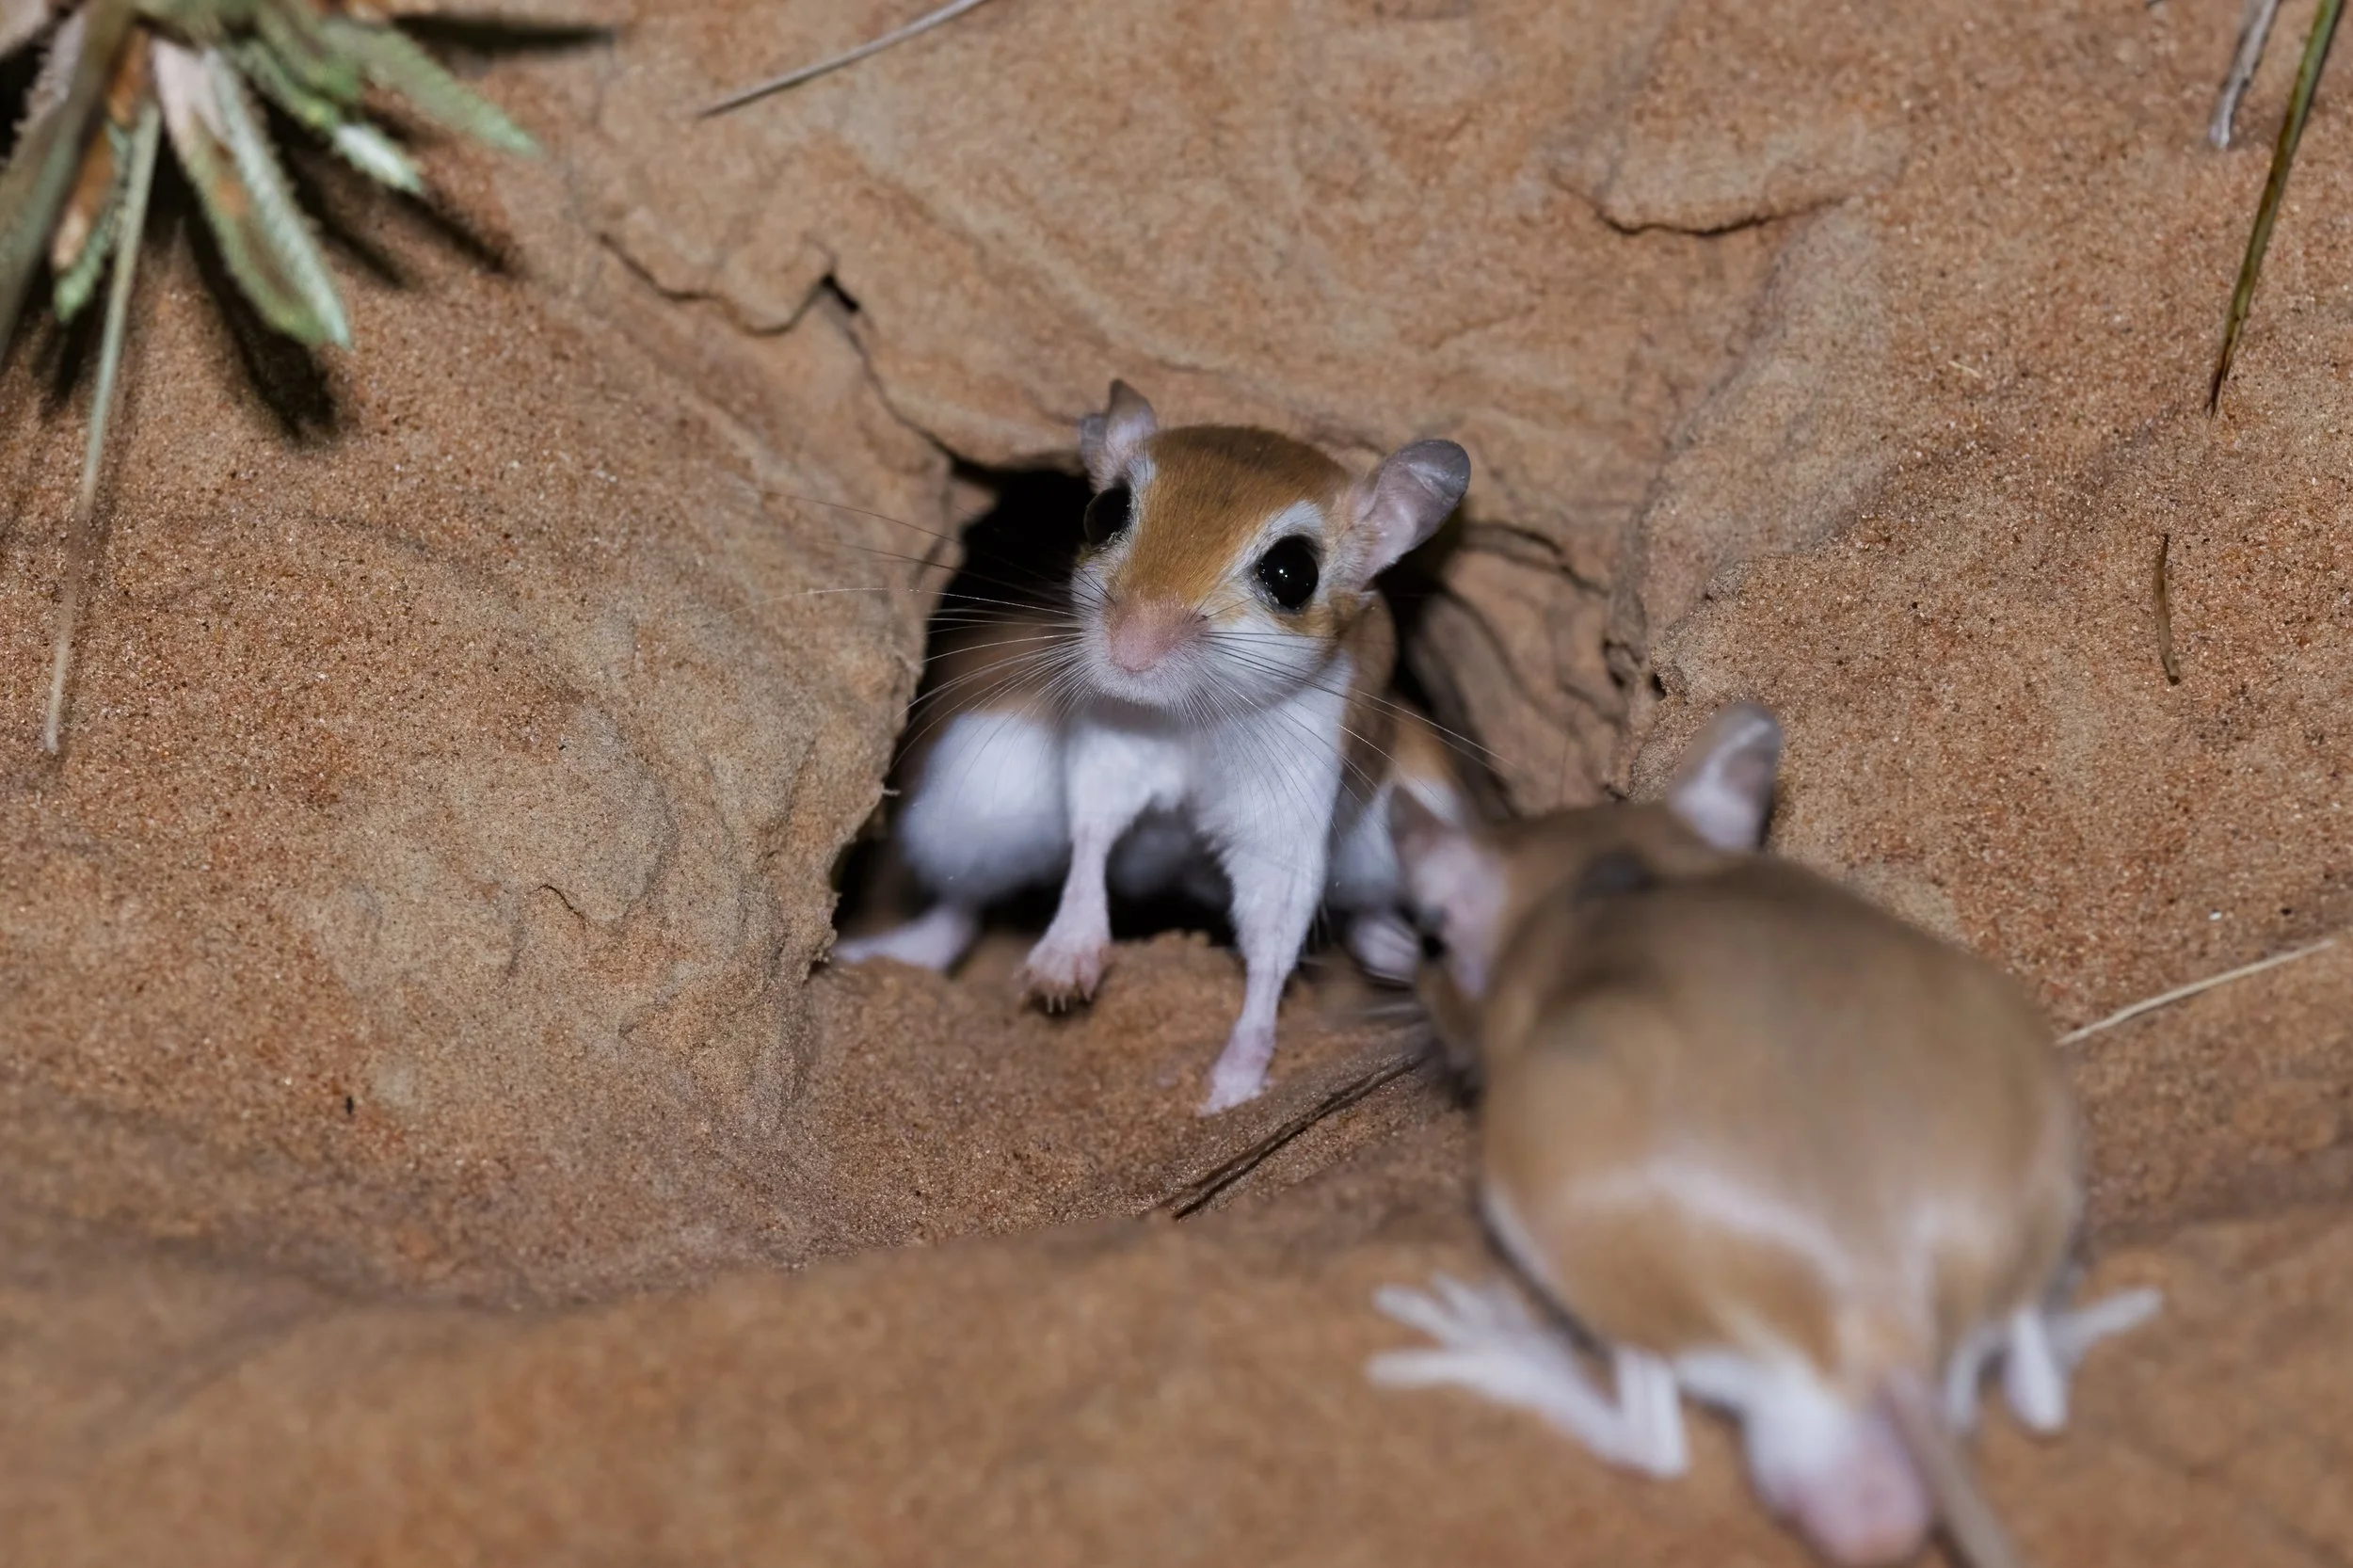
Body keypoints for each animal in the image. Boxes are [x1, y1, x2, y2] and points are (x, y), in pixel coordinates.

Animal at [834, 380, 1476, 1113]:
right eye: (1103, 512)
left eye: (1292, 572)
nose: (1129, 651)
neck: (1191, 716)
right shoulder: (1109, 746)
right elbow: (1093, 837)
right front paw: (1063, 969)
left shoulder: (1287, 814)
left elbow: (1271, 944)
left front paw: (1230, 1091)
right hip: (981, 797)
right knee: (959, 910)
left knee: (1364, 917)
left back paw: (1406, 953)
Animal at [1367, 702, 2160, 1568]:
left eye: (1433, 939)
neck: (1598, 877)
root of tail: (1886, 1325)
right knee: (2037, 1399)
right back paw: (2076, 1311)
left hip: (1568, 1226)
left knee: (1652, 1444)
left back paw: (1491, 1340)